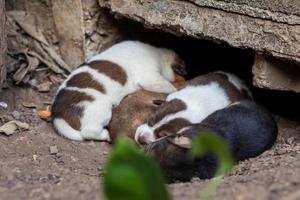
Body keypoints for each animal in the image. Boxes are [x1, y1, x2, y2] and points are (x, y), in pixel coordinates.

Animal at [51, 40, 186, 141]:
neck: (157, 54)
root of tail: (58, 115)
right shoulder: (151, 78)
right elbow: (169, 86)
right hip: (101, 110)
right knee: (89, 132)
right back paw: (105, 135)